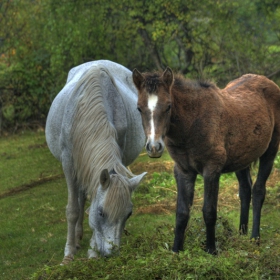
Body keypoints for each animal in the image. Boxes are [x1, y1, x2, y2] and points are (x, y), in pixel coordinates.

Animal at [46, 60, 147, 264]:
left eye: (129, 214)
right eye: (101, 213)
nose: (111, 253)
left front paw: (92, 253)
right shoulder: (69, 164)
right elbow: (73, 209)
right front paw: (68, 254)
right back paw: (77, 238)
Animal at [132, 67, 280, 254]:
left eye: (168, 106)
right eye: (139, 108)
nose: (154, 147)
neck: (192, 123)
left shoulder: (212, 170)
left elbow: (209, 211)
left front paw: (211, 249)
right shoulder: (183, 171)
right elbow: (182, 212)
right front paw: (176, 250)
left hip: (270, 151)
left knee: (258, 191)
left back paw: (255, 238)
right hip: (242, 158)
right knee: (245, 190)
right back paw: (241, 234)